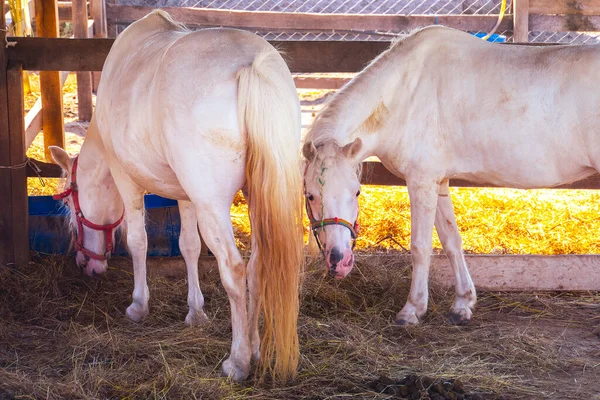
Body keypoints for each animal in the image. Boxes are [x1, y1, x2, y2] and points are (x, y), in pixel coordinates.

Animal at [49, 10, 304, 382]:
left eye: (71, 205)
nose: (86, 264)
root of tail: (251, 65)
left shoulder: (126, 178)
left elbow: (137, 240)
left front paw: (138, 305)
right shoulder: (185, 194)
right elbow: (189, 246)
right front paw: (195, 311)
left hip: (213, 205)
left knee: (234, 269)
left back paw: (238, 360)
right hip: (256, 196)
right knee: (257, 266)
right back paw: (254, 347)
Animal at [302, 27, 600, 328]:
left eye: (357, 192)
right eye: (311, 195)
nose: (338, 261)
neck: (402, 93)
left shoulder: (420, 181)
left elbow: (420, 247)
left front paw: (412, 310)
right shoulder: (438, 181)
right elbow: (451, 241)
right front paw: (463, 304)